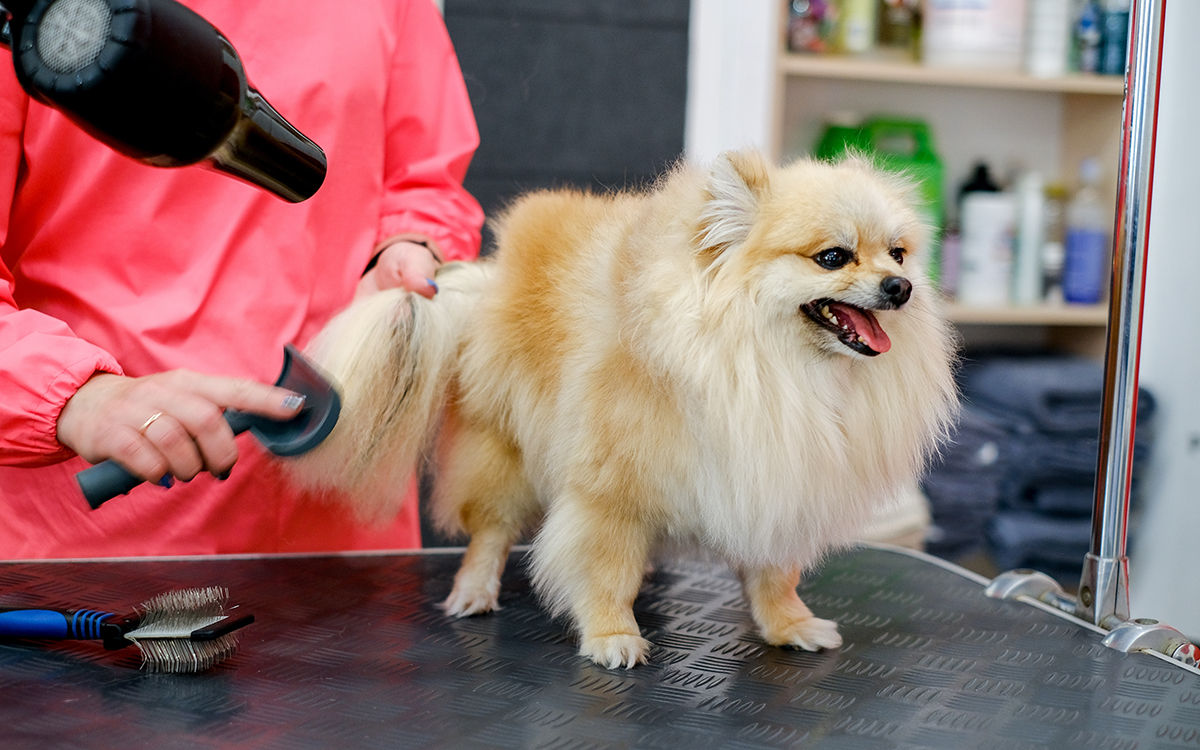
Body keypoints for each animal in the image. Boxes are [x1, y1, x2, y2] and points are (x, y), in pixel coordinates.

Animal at [295, 150, 960, 667]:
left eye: (898, 254)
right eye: (833, 257)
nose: (901, 287)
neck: (771, 365)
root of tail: (491, 278)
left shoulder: (770, 477)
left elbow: (773, 574)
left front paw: (789, 625)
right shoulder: (609, 487)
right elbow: (604, 567)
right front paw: (612, 635)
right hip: (504, 450)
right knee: (491, 529)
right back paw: (474, 591)